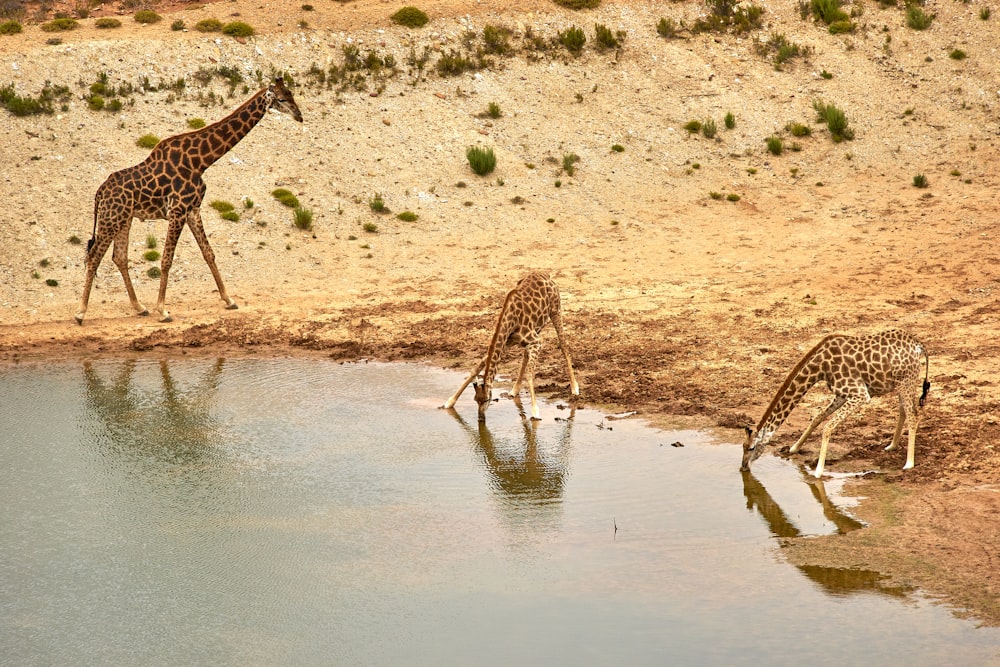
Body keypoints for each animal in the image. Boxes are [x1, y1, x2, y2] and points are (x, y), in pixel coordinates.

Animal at [76, 77, 302, 324]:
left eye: (291, 94)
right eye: (281, 99)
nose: (299, 115)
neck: (201, 161)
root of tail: (99, 193)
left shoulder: (193, 209)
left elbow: (208, 253)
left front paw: (229, 299)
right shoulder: (177, 211)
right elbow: (166, 259)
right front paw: (163, 310)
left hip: (124, 219)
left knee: (119, 257)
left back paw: (139, 307)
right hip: (111, 218)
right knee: (94, 257)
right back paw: (81, 312)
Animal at [444, 272, 580, 422]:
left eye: (486, 400)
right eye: (475, 400)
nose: (480, 419)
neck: (510, 320)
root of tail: (546, 275)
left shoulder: (537, 342)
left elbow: (530, 373)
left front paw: (535, 412)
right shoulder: (508, 342)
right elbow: (476, 368)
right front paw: (450, 402)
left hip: (556, 310)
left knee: (563, 344)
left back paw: (574, 388)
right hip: (536, 329)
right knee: (526, 354)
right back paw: (514, 390)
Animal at [740, 328, 932, 474]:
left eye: (751, 448)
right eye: (742, 446)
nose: (743, 467)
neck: (820, 367)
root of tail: (918, 345)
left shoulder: (860, 394)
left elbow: (828, 427)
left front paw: (818, 471)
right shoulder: (841, 394)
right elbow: (817, 417)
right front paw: (794, 448)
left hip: (906, 380)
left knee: (913, 415)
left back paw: (909, 463)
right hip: (901, 382)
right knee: (903, 410)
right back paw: (892, 446)